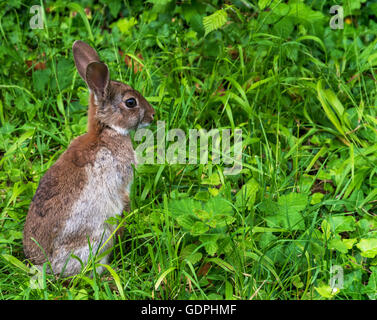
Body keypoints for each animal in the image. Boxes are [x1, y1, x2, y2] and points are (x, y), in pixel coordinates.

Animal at [22, 40, 154, 276]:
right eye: (131, 102)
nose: (152, 115)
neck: (106, 130)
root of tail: (46, 266)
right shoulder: (121, 183)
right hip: (96, 239)